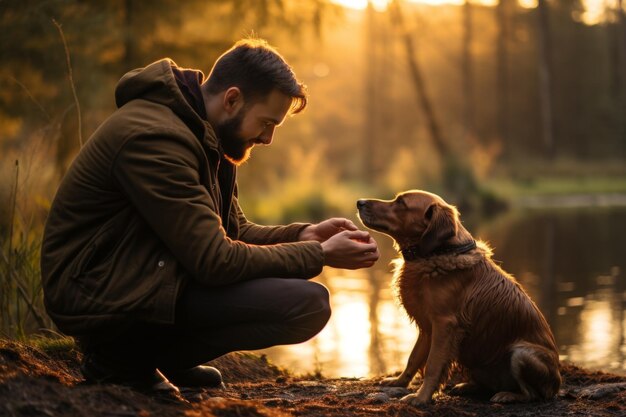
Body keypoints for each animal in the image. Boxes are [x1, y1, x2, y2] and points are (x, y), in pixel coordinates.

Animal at [356, 190, 560, 404]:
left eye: (401, 203)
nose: (360, 202)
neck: (436, 252)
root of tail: (556, 386)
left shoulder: (444, 325)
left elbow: (433, 366)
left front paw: (421, 397)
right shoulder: (427, 328)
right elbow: (413, 358)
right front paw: (399, 381)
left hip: (521, 353)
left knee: (532, 394)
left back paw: (508, 395)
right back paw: (468, 386)